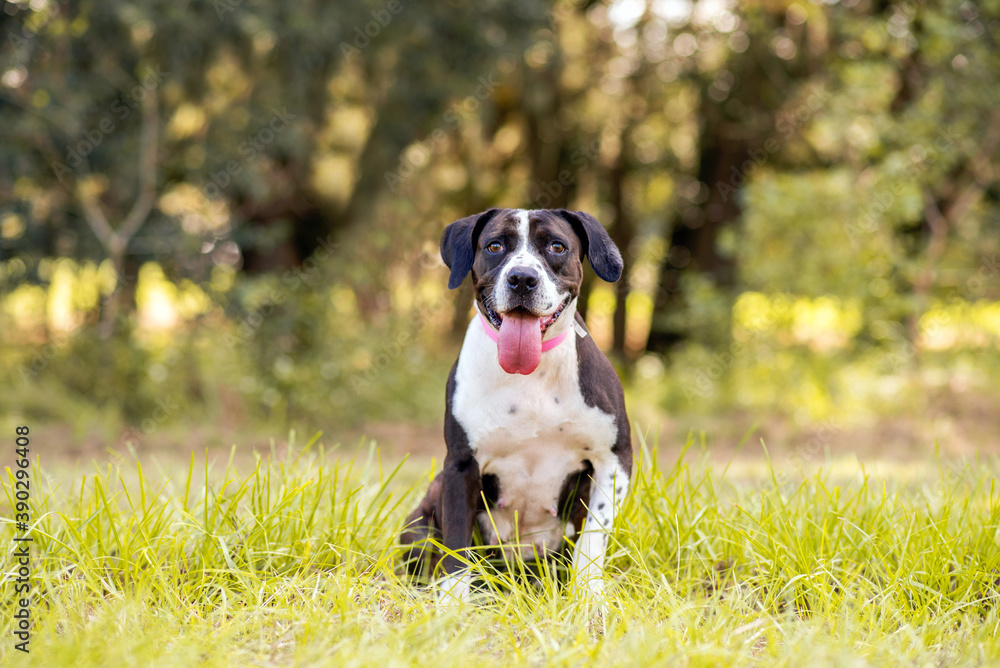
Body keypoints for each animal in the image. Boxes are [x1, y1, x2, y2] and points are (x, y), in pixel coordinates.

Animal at [400, 207, 628, 600]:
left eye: (556, 246)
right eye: (494, 246)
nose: (522, 278)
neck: (531, 375)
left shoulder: (614, 460)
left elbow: (593, 537)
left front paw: (589, 596)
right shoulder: (460, 465)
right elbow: (456, 544)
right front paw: (453, 603)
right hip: (422, 516)